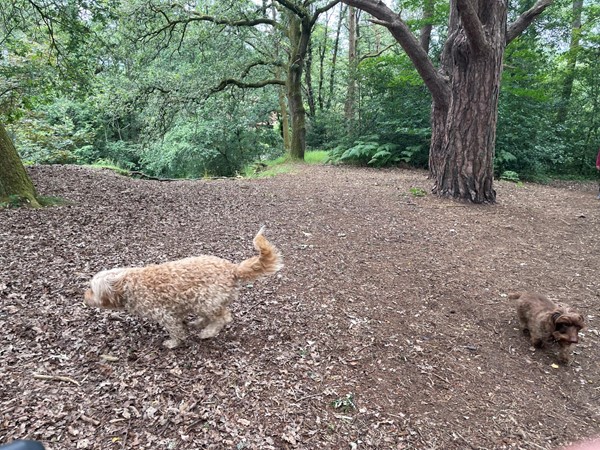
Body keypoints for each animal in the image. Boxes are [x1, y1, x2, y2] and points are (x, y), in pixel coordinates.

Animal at [84, 229, 284, 348]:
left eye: (92, 290)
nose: (84, 296)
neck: (127, 283)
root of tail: (232, 269)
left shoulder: (165, 314)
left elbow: (175, 330)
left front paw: (173, 342)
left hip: (206, 300)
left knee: (223, 318)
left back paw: (207, 332)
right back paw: (198, 323)